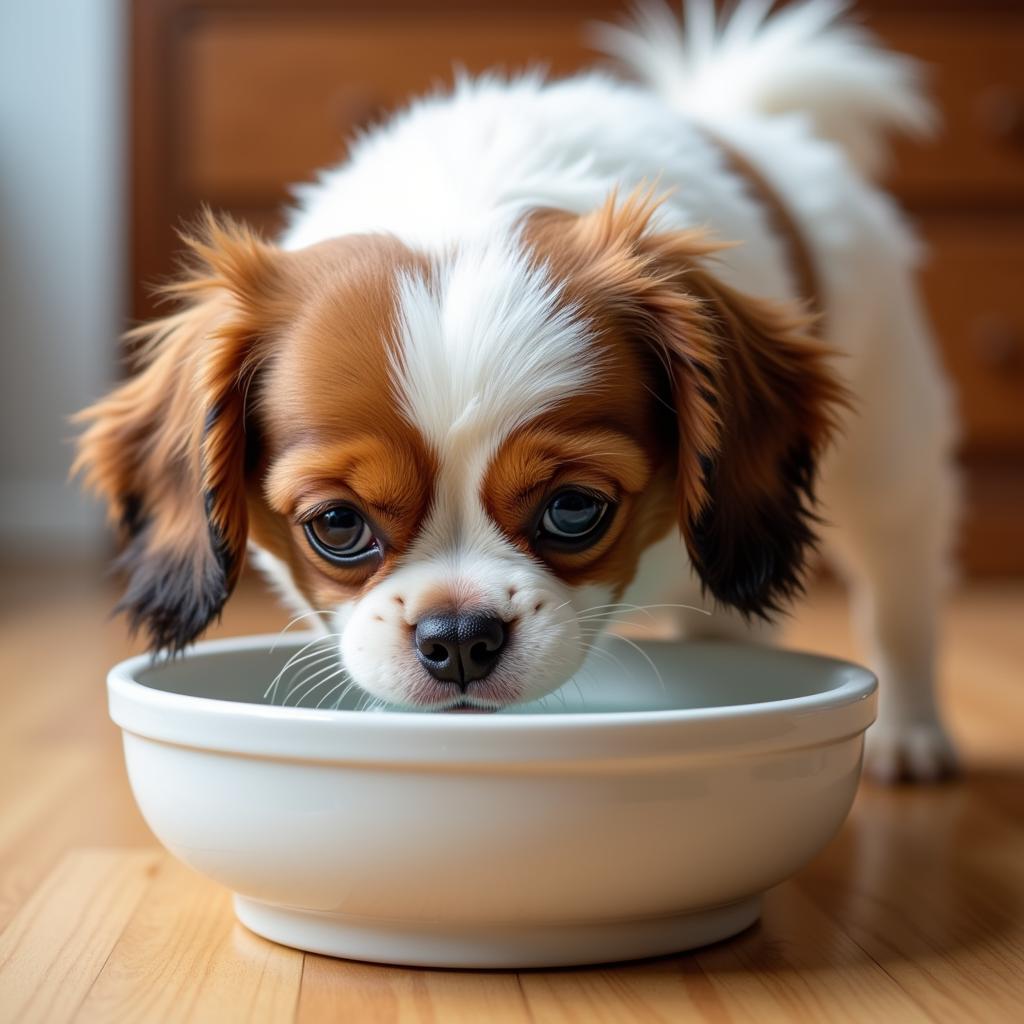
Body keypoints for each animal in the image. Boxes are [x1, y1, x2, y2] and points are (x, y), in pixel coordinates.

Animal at [74, 2, 958, 782]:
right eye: (337, 525)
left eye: (574, 509)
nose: (460, 634)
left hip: (889, 456)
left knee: (902, 587)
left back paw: (913, 731)